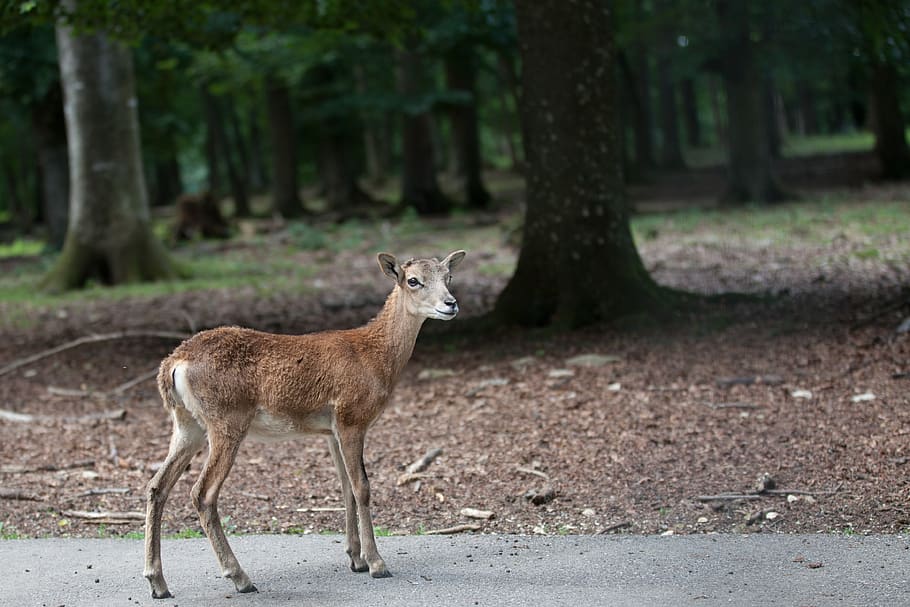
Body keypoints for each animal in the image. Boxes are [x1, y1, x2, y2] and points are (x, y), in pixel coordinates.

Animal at [143, 250, 466, 599]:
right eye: (413, 280)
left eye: (448, 276)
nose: (450, 303)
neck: (375, 359)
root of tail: (173, 365)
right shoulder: (352, 417)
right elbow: (362, 487)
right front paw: (377, 563)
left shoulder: (331, 430)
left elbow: (345, 488)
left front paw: (355, 559)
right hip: (226, 421)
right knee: (202, 493)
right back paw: (240, 578)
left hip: (186, 424)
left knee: (157, 485)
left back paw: (158, 583)